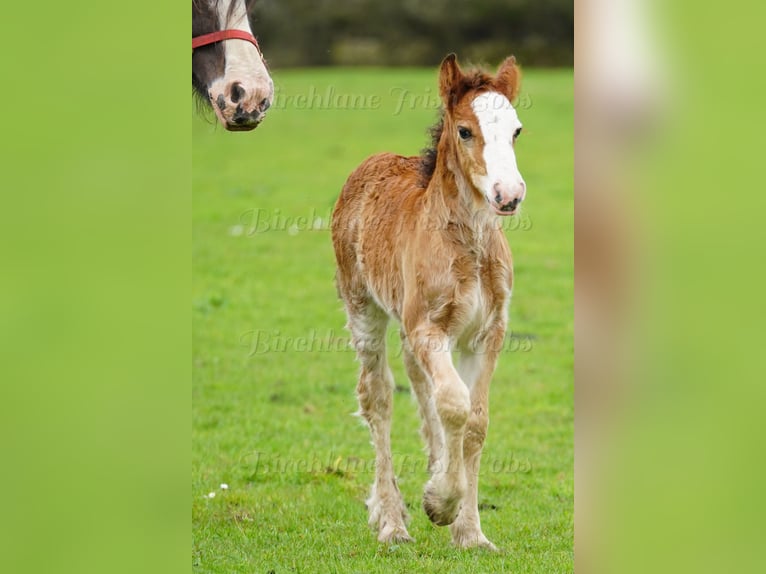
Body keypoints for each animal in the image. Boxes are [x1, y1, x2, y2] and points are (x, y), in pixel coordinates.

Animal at [331, 53, 525, 549]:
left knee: (421, 389)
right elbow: (454, 403)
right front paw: (439, 502)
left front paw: (470, 531)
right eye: (465, 130)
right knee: (378, 396)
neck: (469, 246)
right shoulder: (427, 327)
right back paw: (392, 521)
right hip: (364, 308)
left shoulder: (486, 334)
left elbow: (474, 420)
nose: (509, 195)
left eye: (516, 130)